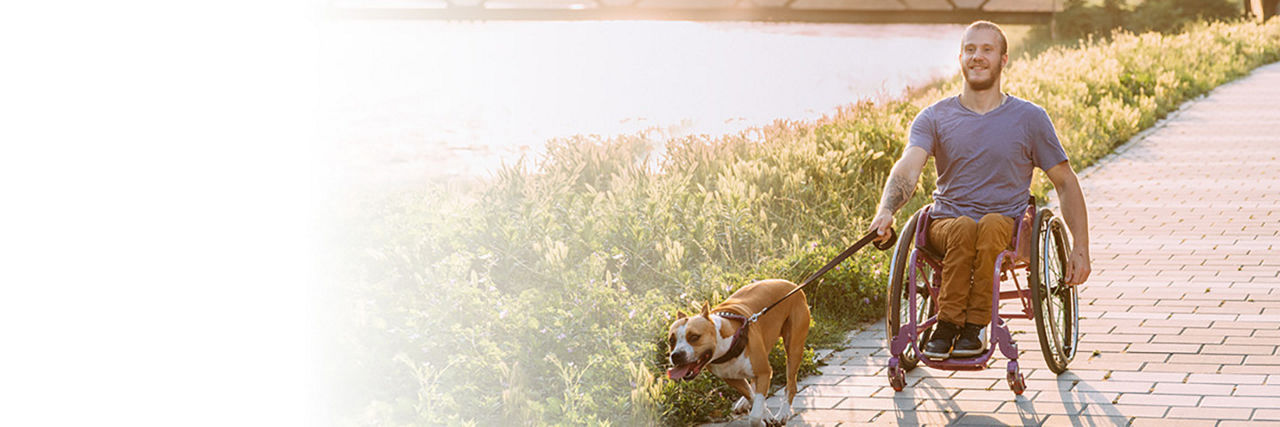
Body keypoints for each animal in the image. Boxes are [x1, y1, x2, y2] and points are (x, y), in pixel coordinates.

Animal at [670, 278, 808, 424]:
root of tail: (793, 285)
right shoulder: (732, 378)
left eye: (694, 337)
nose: (676, 355)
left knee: (791, 384)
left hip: (794, 348)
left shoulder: (764, 372)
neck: (728, 343)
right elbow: (753, 397)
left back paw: (783, 413)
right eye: (671, 340)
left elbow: (755, 415)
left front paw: (762, 417)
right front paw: (765, 414)